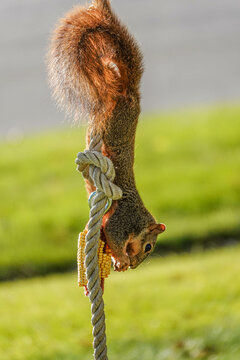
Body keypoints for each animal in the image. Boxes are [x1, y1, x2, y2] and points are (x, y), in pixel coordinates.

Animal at [47, 0, 166, 272]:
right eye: (148, 247)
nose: (135, 265)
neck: (139, 217)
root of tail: (131, 95)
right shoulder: (123, 221)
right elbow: (113, 234)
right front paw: (121, 259)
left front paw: (117, 261)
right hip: (115, 120)